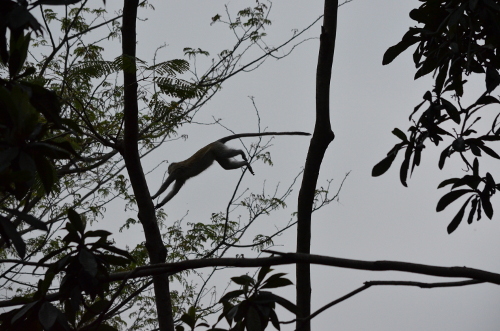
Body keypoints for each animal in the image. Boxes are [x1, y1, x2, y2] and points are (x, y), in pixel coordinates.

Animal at [150, 132, 310, 208]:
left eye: (169, 169)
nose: (168, 171)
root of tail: (215, 142)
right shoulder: (180, 177)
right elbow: (174, 192)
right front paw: (160, 204)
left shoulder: (177, 172)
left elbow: (166, 185)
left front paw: (153, 196)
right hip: (216, 152)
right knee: (226, 165)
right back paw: (245, 163)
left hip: (216, 149)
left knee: (226, 155)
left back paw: (241, 153)